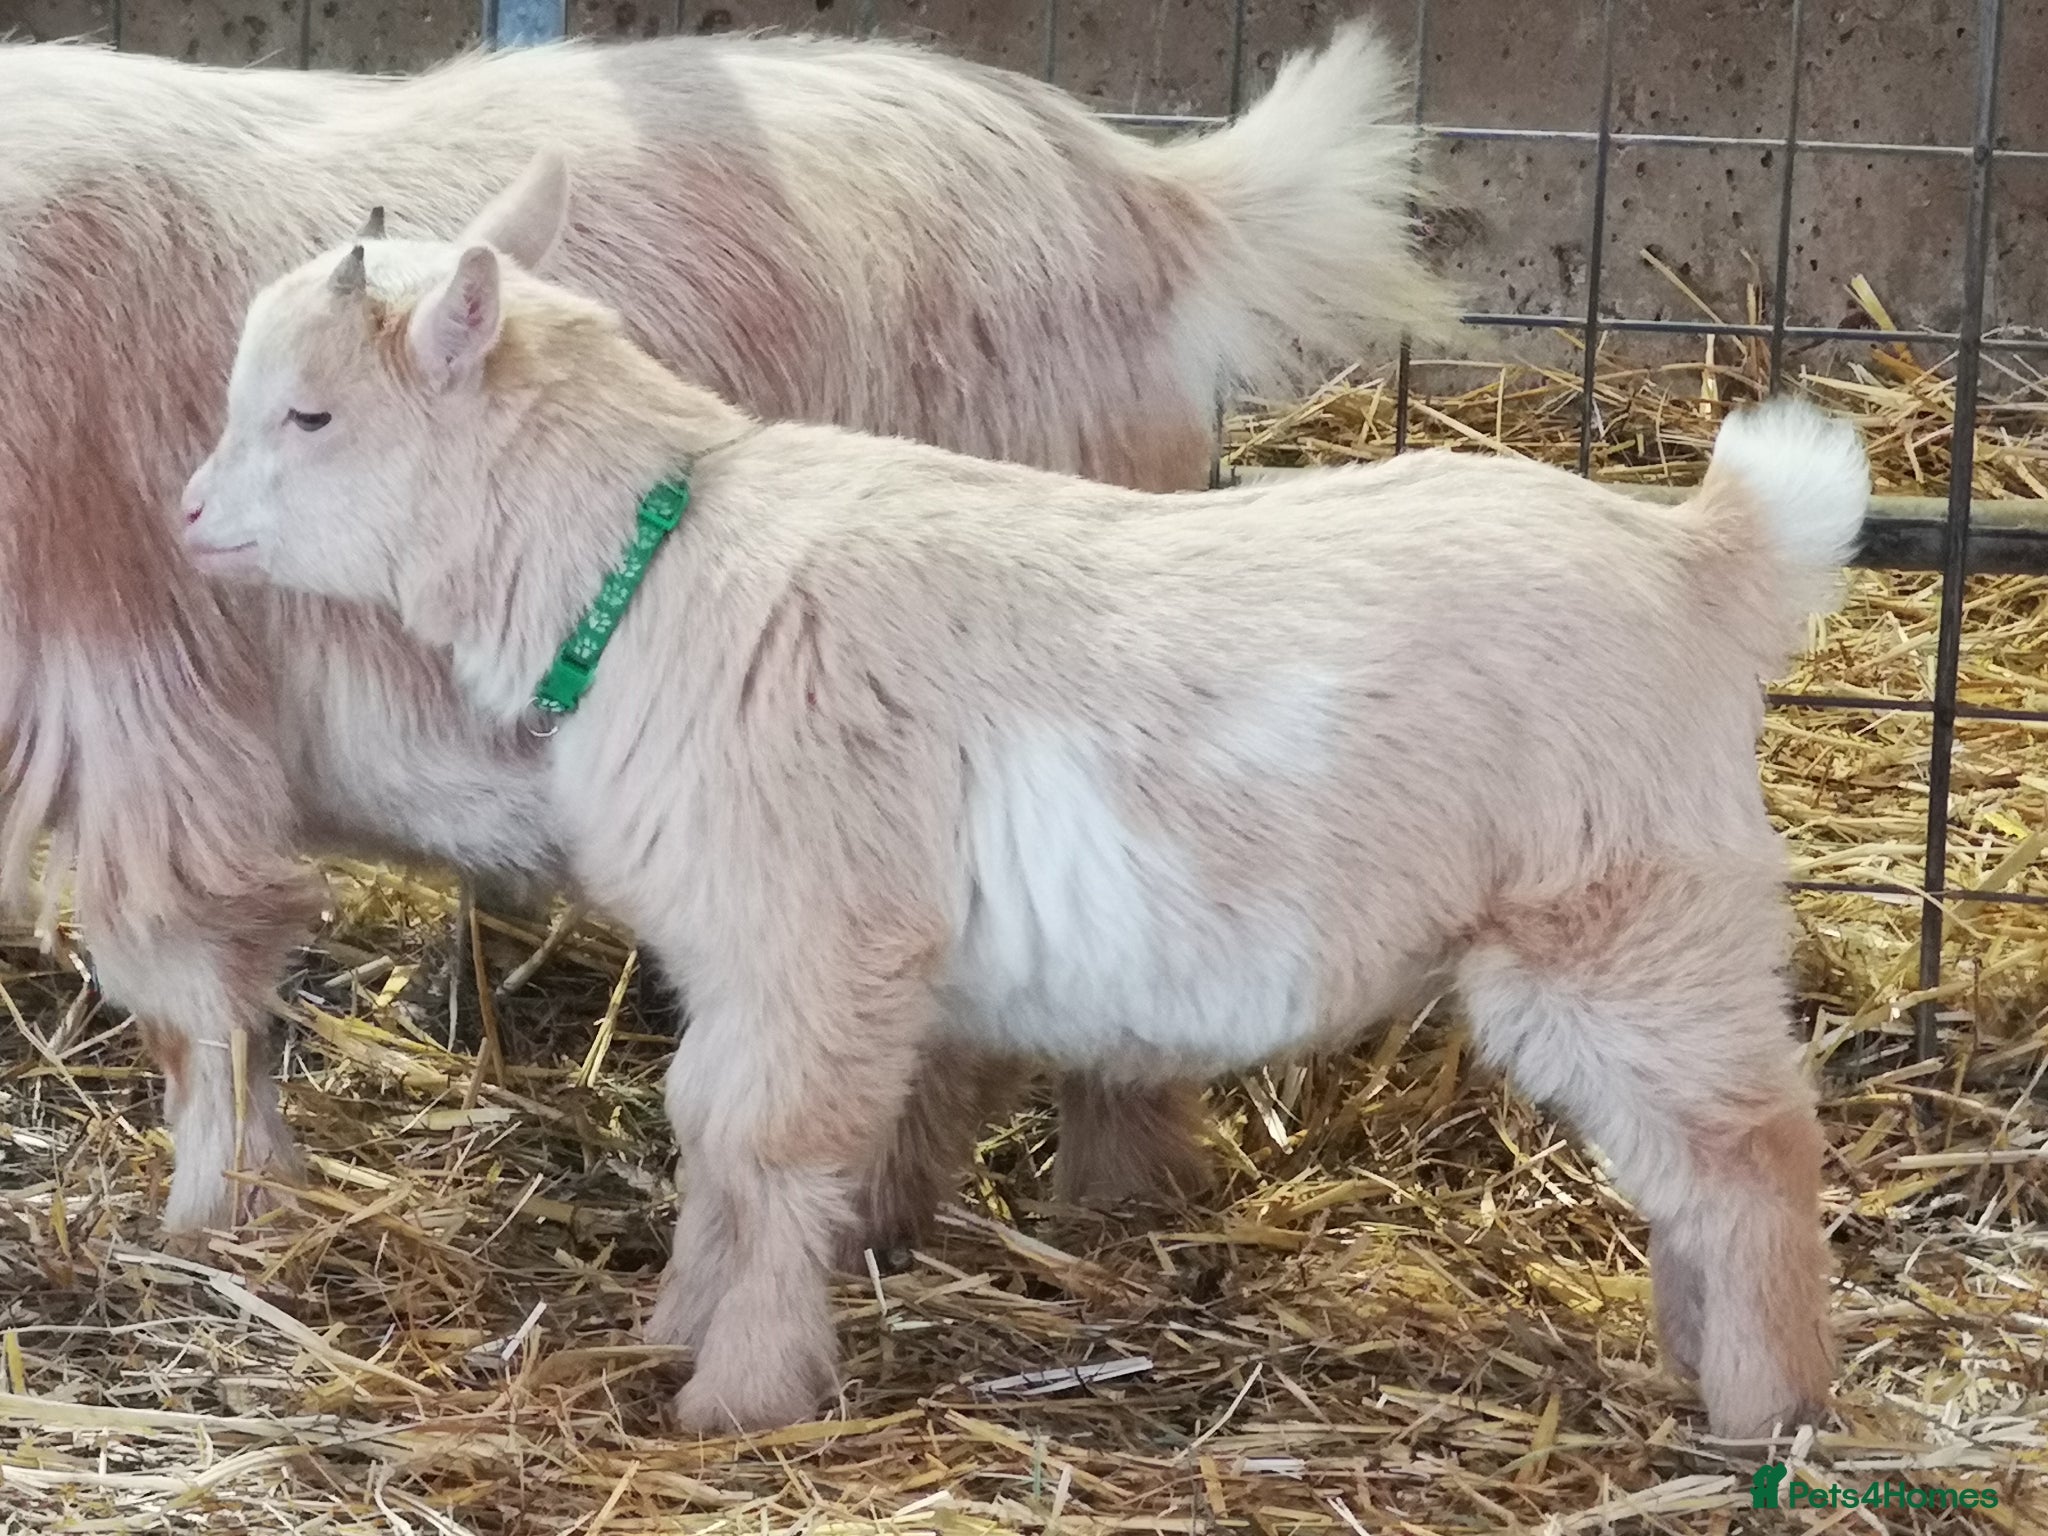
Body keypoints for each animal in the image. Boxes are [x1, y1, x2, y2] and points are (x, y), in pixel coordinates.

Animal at [181, 159, 1861, 1439]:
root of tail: (1706, 559)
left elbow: (771, 1149)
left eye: (310, 416)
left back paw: (1764, 1406)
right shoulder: (739, 955)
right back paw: (1692, 1355)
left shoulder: (819, 936)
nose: (187, 516)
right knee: (1697, 1164)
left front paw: (739, 1395)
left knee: (1751, 1148)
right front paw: (674, 1332)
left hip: (1627, 918)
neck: (658, 558)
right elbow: (707, 1133)